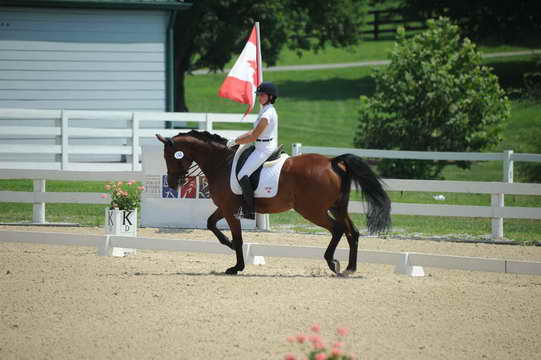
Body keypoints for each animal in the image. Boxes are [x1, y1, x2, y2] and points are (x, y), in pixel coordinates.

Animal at [154, 131, 390, 278]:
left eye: (170, 156)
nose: (174, 183)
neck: (221, 163)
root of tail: (333, 161)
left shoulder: (230, 210)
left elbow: (238, 238)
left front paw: (237, 266)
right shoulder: (224, 207)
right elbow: (210, 224)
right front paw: (228, 245)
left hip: (312, 210)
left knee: (338, 229)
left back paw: (332, 262)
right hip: (337, 207)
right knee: (353, 232)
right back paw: (350, 268)